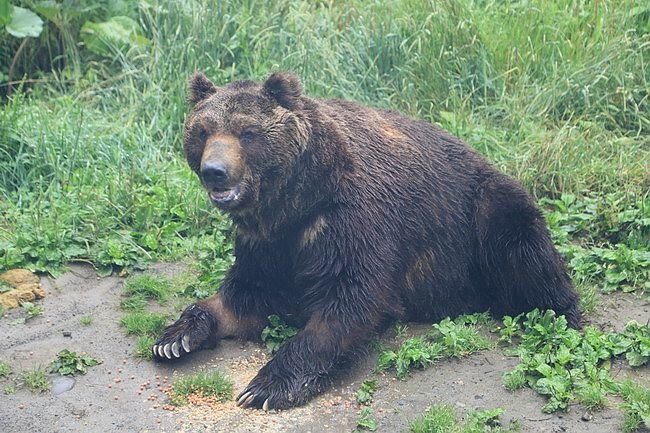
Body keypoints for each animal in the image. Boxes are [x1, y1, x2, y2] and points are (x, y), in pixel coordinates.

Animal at [152, 71, 576, 408]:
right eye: (203, 131)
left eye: (247, 132)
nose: (215, 171)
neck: (296, 201)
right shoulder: (269, 241)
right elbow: (247, 293)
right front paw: (174, 338)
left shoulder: (352, 220)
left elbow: (350, 300)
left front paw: (267, 386)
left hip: (481, 213)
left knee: (523, 250)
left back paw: (557, 311)